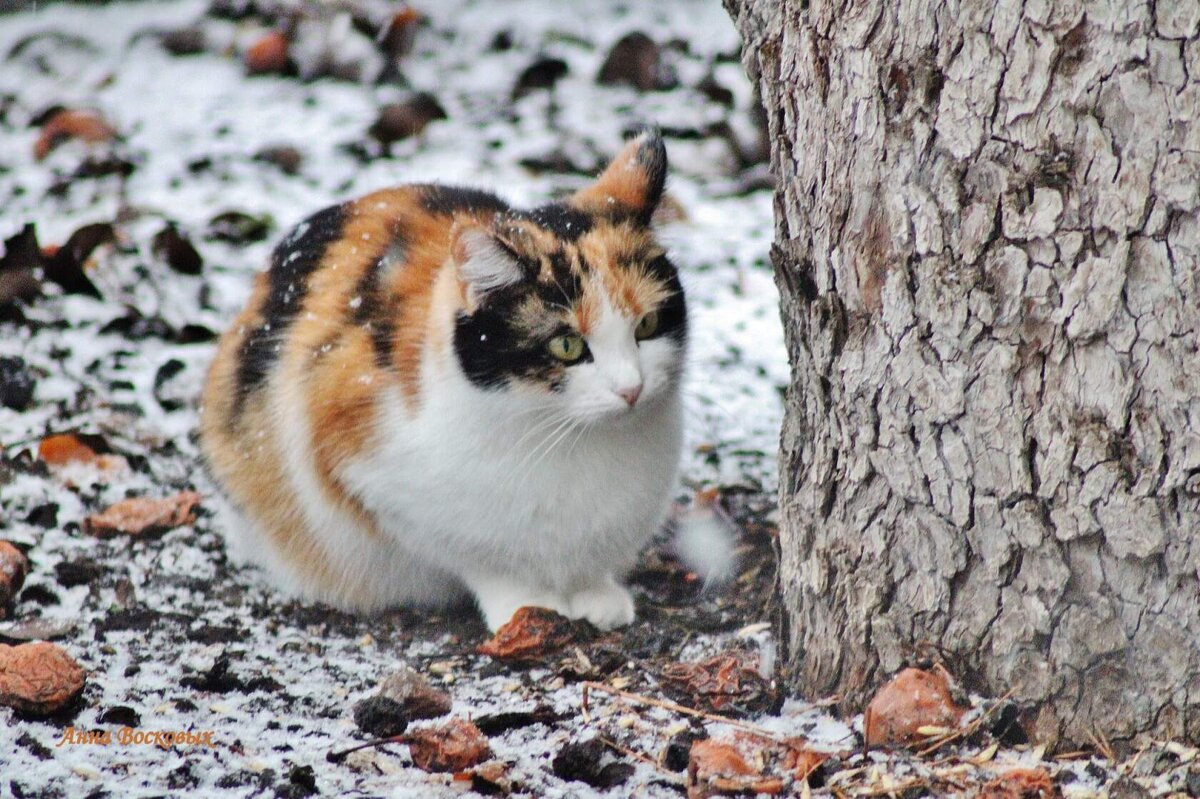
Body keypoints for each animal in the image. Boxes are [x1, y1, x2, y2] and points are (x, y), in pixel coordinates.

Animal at [196, 128, 686, 628]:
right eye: (567, 346)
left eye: (647, 325)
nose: (632, 388)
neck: (564, 438)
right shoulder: (363, 473)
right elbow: (485, 563)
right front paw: (526, 606)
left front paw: (597, 597)